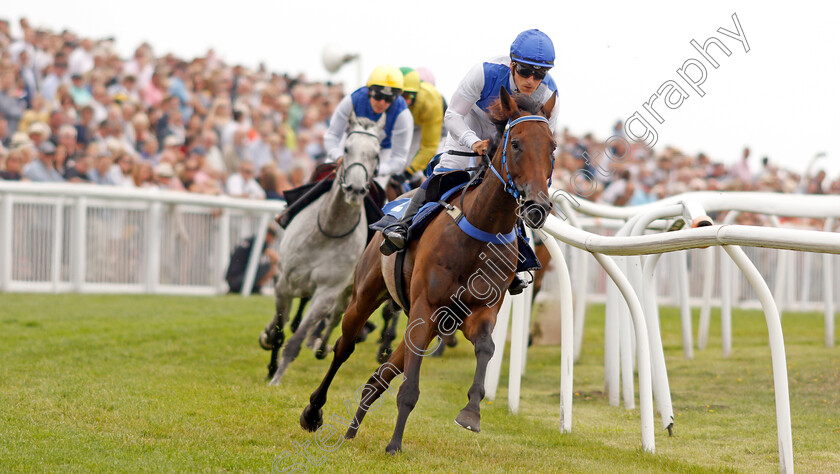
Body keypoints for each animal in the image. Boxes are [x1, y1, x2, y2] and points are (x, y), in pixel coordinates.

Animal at [258, 111, 386, 386]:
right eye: (347, 148)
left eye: (376, 154)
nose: (355, 190)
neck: (328, 229)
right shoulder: (284, 283)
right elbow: (279, 330)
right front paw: (271, 366)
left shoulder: (328, 291)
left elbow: (296, 340)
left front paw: (277, 378)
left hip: (352, 288)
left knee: (337, 314)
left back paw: (322, 346)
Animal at [298, 87, 556, 454]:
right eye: (516, 143)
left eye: (552, 147)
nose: (538, 206)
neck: (482, 229)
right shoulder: (426, 306)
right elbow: (409, 387)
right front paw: (394, 444)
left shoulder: (477, 312)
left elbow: (486, 347)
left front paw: (471, 412)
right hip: (367, 294)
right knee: (344, 347)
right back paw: (314, 412)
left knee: (382, 373)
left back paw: (352, 429)